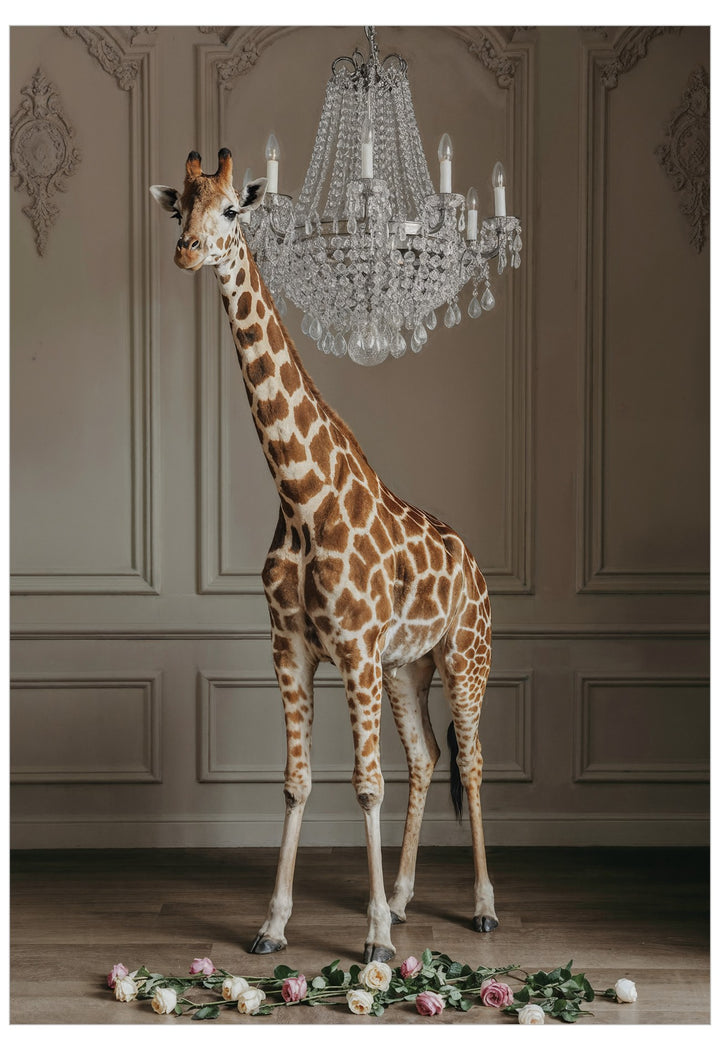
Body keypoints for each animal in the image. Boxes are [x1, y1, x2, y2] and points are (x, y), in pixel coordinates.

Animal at [150, 149, 497, 963]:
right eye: (180, 206)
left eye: (232, 211)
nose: (187, 251)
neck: (301, 496)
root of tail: (475, 566)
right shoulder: (292, 649)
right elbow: (297, 781)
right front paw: (273, 925)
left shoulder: (355, 649)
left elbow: (365, 784)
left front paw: (372, 942)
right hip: (409, 667)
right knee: (429, 759)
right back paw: (402, 899)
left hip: (464, 659)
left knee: (471, 763)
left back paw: (481, 907)